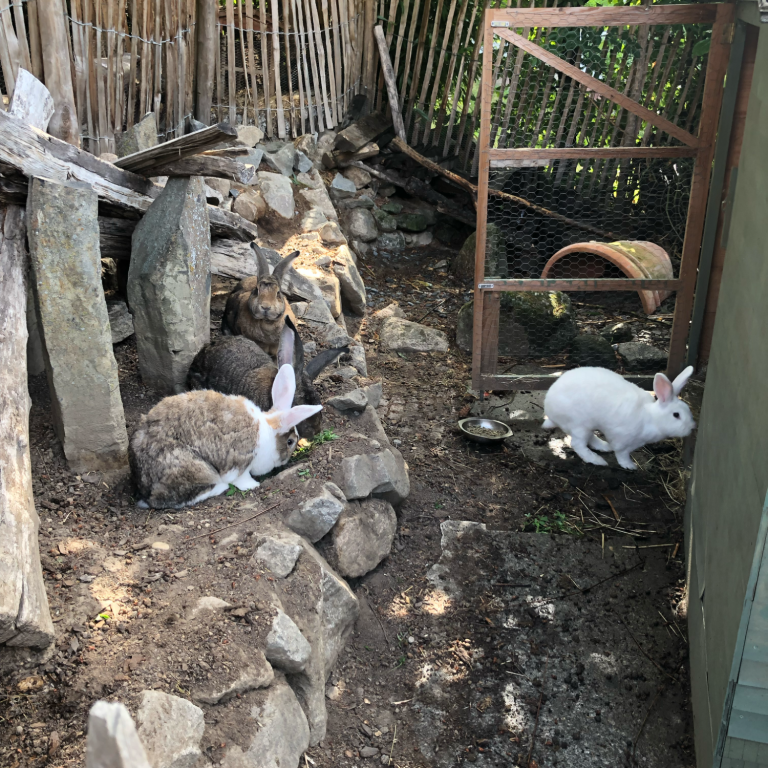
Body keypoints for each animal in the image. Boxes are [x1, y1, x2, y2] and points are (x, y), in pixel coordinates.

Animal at [129, 364, 322, 509]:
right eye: (290, 442)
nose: (285, 461)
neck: (267, 430)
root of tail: (142, 486)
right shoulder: (241, 462)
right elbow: (241, 478)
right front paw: (253, 485)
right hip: (195, 470)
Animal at [542, 365, 696, 470]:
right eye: (676, 415)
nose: (691, 428)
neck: (650, 417)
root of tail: (549, 408)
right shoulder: (622, 440)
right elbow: (622, 454)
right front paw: (630, 466)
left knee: (590, 438)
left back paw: (604, 447)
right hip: (579, 425)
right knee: (578, 444)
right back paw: (597, 460)